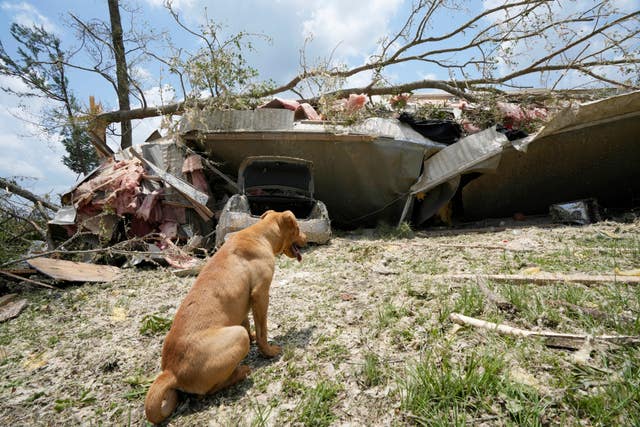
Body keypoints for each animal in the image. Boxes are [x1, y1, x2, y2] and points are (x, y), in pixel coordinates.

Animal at [146, 211, 306, 424]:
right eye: (298, 228)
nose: (307, 237)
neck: (260, 234)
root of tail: (171, 372)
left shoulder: (245, 302)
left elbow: (247, 322)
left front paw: (254, 336)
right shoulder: (260, 294)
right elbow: (262, 331)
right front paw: (269, 351)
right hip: (237, 337)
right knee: (208, 391)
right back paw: (241, 372)